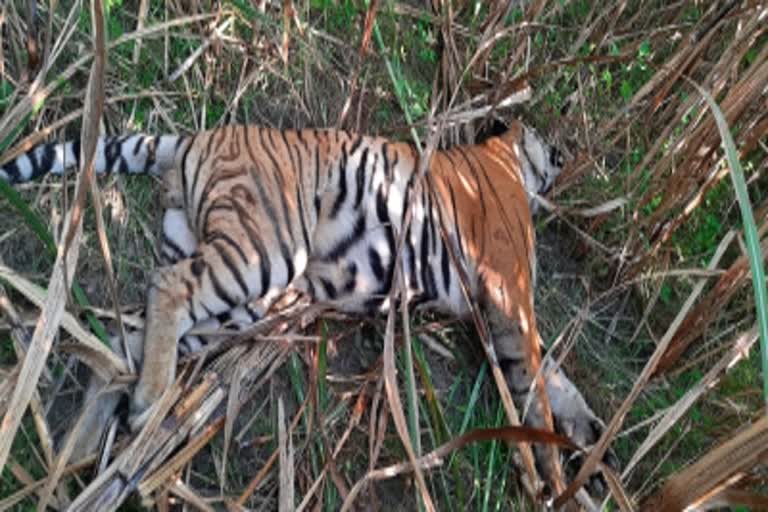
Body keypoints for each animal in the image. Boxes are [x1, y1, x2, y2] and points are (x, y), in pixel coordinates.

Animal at [0, 120, 612, 496]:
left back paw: (78, 451)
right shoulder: (509, 292)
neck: (503, 158)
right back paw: (145, 406)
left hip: (246, 296)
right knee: (167, 286)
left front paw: (589, 440)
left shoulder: (495, 311)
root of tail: (197, 136)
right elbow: (534, 379)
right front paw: (555, 474)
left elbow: (548, 373)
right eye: (547, 141)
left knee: (126, 340)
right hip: (262, 253)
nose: (565, 156)